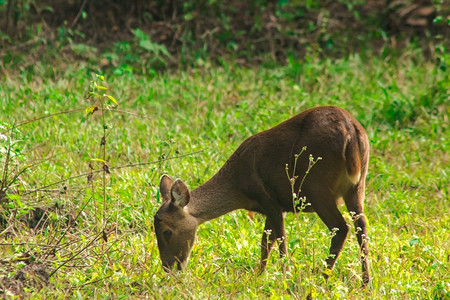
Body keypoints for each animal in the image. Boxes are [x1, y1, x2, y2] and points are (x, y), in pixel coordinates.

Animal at [153, 106, 370, 286]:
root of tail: (351, 132)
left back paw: (322, 278)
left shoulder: (269, 199)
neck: (238, 185)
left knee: (341, 228)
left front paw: (284, 277)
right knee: (361, 226)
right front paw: (259, 275)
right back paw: (365, 282)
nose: (168, 268)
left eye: (167, 232)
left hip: (317, 186)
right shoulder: (279, 206)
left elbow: (278, 240)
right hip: (357, 186)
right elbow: (266, 242)